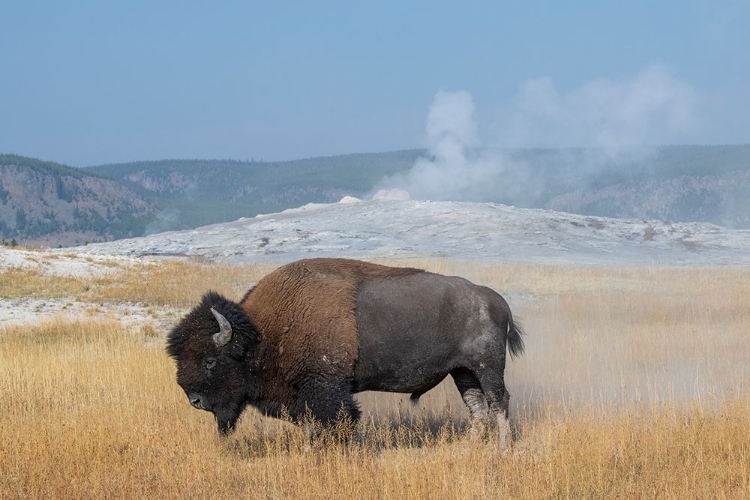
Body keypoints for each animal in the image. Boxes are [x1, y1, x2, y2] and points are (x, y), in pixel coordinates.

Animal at [167, 260, 524, 444]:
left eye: (210, 360)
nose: (194, 400)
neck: (260, 335)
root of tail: (496, 299)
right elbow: (312, 426)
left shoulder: (326, 388)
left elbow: (337, 421)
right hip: (463, 372)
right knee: (477, 408)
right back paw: (469, 448)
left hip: (487, 367)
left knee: (499, 402)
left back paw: (503, 450)